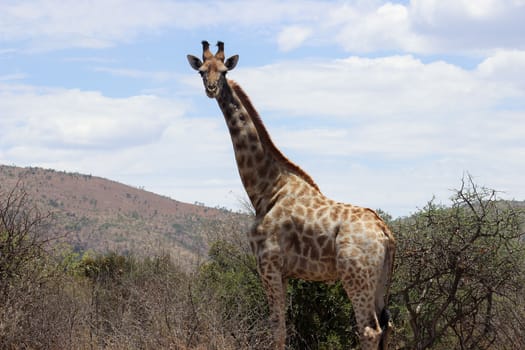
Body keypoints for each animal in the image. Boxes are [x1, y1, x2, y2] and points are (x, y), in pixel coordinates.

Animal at [186, 41, 396, 350]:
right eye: (202, 71)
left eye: (224, 72)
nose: (211, 88)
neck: (266, 189)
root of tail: (386, 233)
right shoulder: (283, 272)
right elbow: (284, 326)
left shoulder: (268, 264)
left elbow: (277, 327)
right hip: (380, 280)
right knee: (386, 327)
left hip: (356, 275)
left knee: (369, 329)